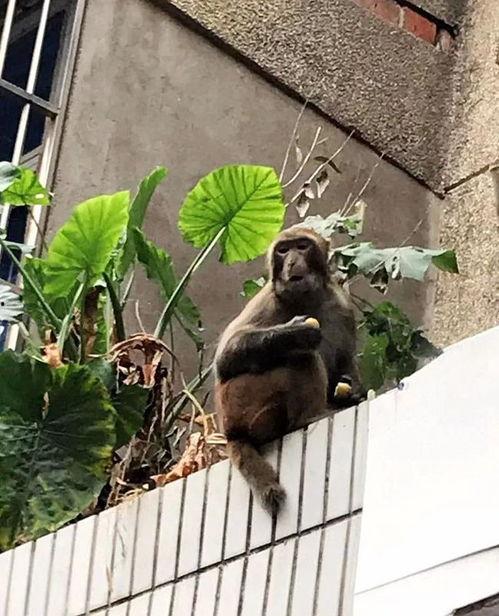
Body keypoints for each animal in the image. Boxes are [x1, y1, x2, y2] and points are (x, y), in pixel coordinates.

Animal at [214, 226, 363, 514]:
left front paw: (350, 392)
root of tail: (230, 431)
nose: (292, 262)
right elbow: (225, 360)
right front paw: (294, 333)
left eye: (302, 246)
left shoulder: (342, 307)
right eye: (283, 250)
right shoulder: (267, 299)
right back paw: (310, 417)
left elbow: (344, 365)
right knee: (302, 356)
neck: (306, 298)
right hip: (243, 401)